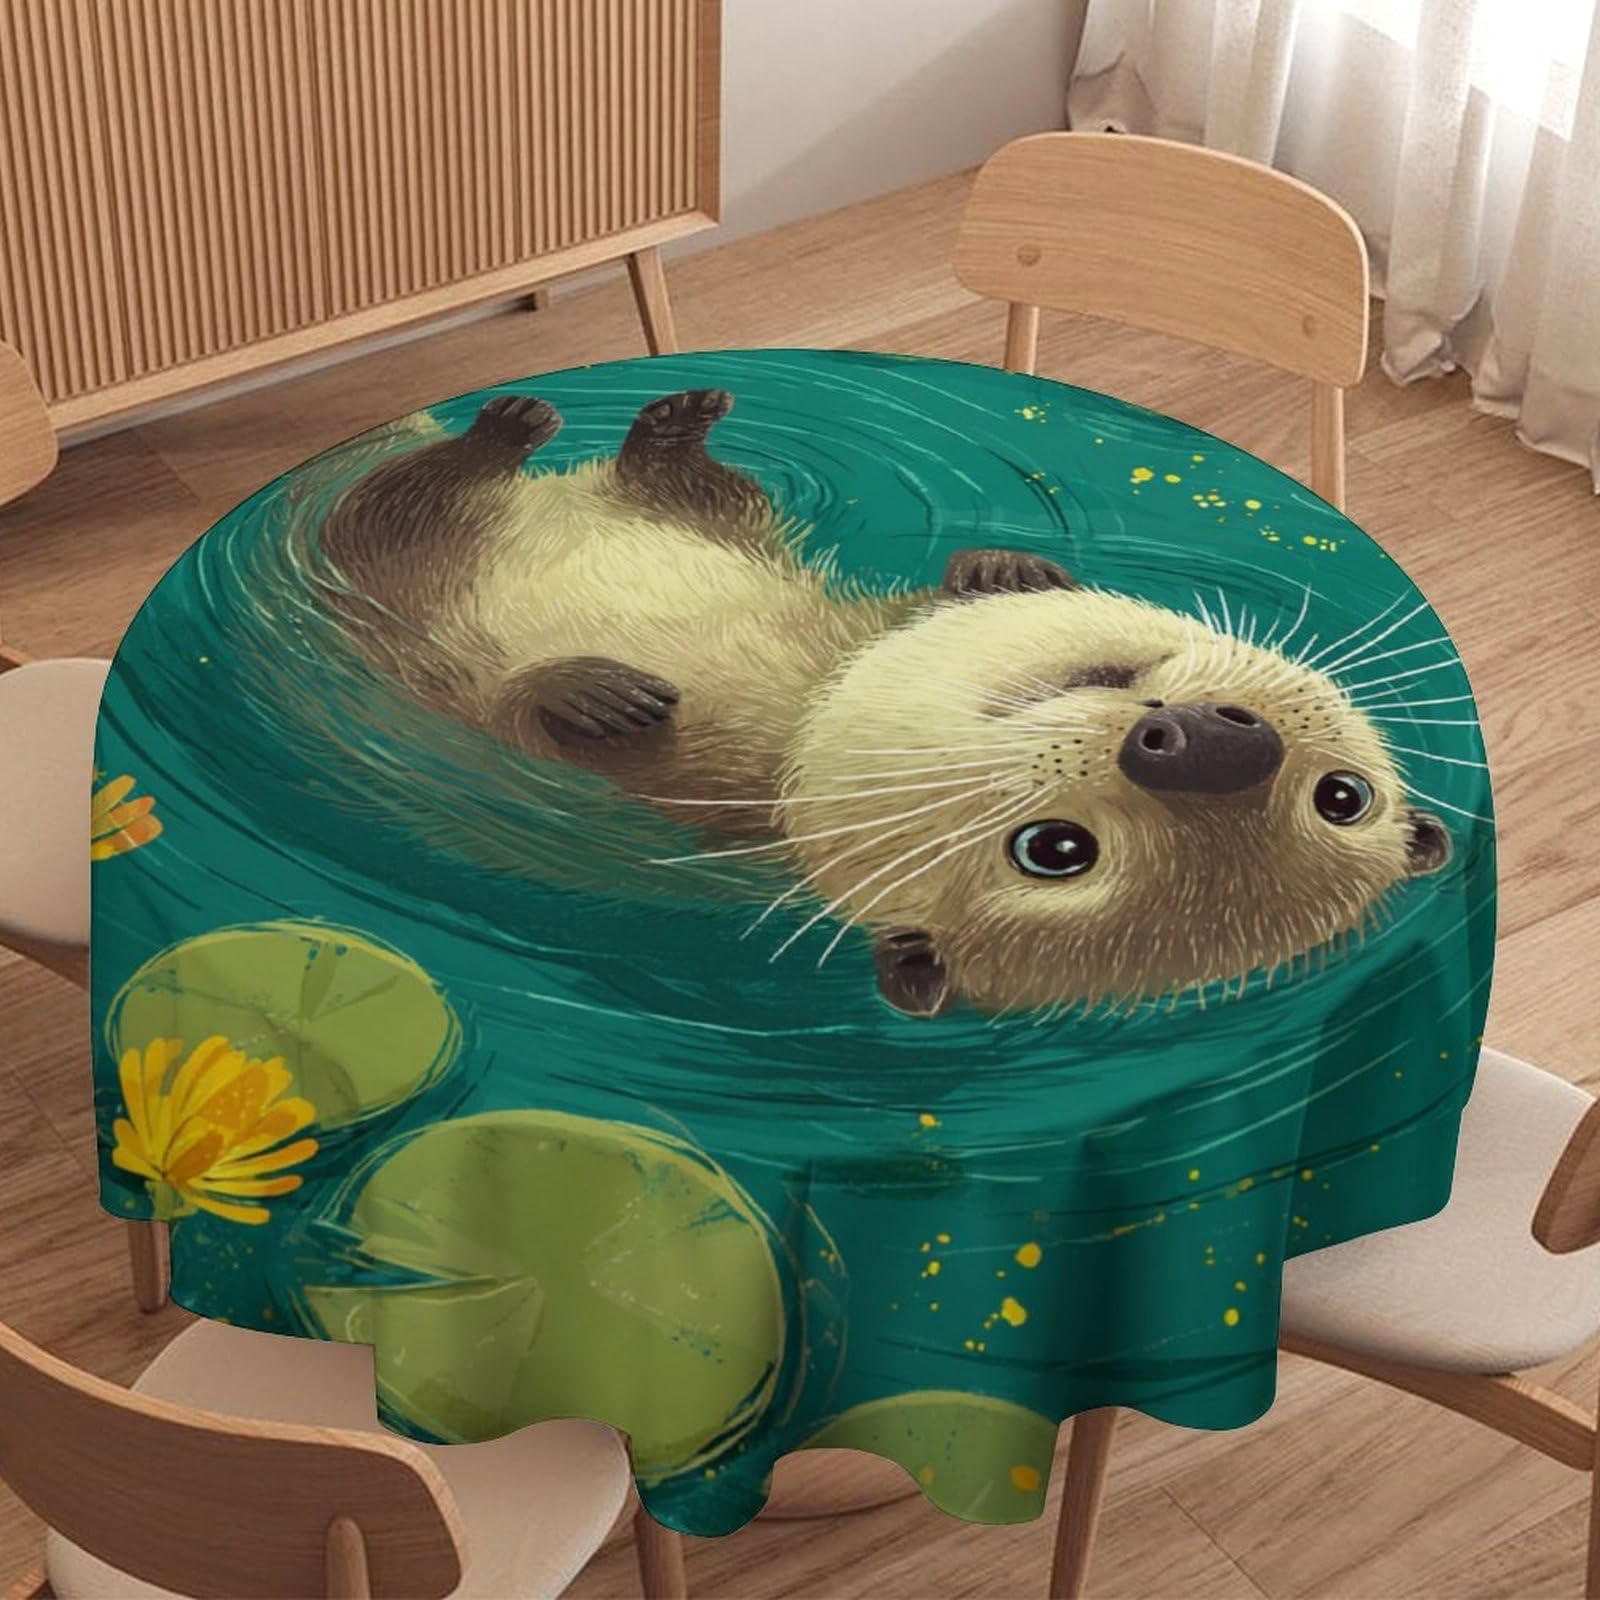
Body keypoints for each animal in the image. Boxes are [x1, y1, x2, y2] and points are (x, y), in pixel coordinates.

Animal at [320, 388, 1452, 1018]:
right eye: (1345, 797)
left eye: (1056, 851)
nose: (1211, 746)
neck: (801, 704)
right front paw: (1004, 569)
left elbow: (513, 713)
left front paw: (593, 694)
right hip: (714, 512)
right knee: (683, 484)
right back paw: (659, 422)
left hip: (388, 557)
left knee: (388, 502)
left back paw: (514, 427)